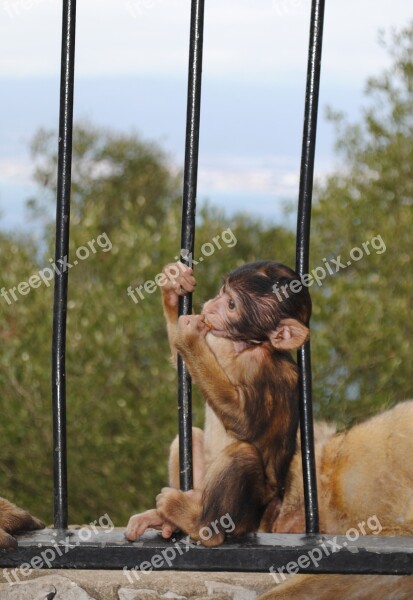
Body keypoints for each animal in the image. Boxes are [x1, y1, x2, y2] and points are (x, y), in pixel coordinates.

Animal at [125, 260, 308, 548]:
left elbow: (244, 422)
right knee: (189, 439)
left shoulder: (264, 370)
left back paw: (197, 524)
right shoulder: (219, 341)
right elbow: (183, 367)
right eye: (223, 291)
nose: (211, 304)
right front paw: (174, 285)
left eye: (231, 304)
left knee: (242, 455)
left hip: (243, 517)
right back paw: (166, 520)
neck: (244, 346)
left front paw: (188, 337)